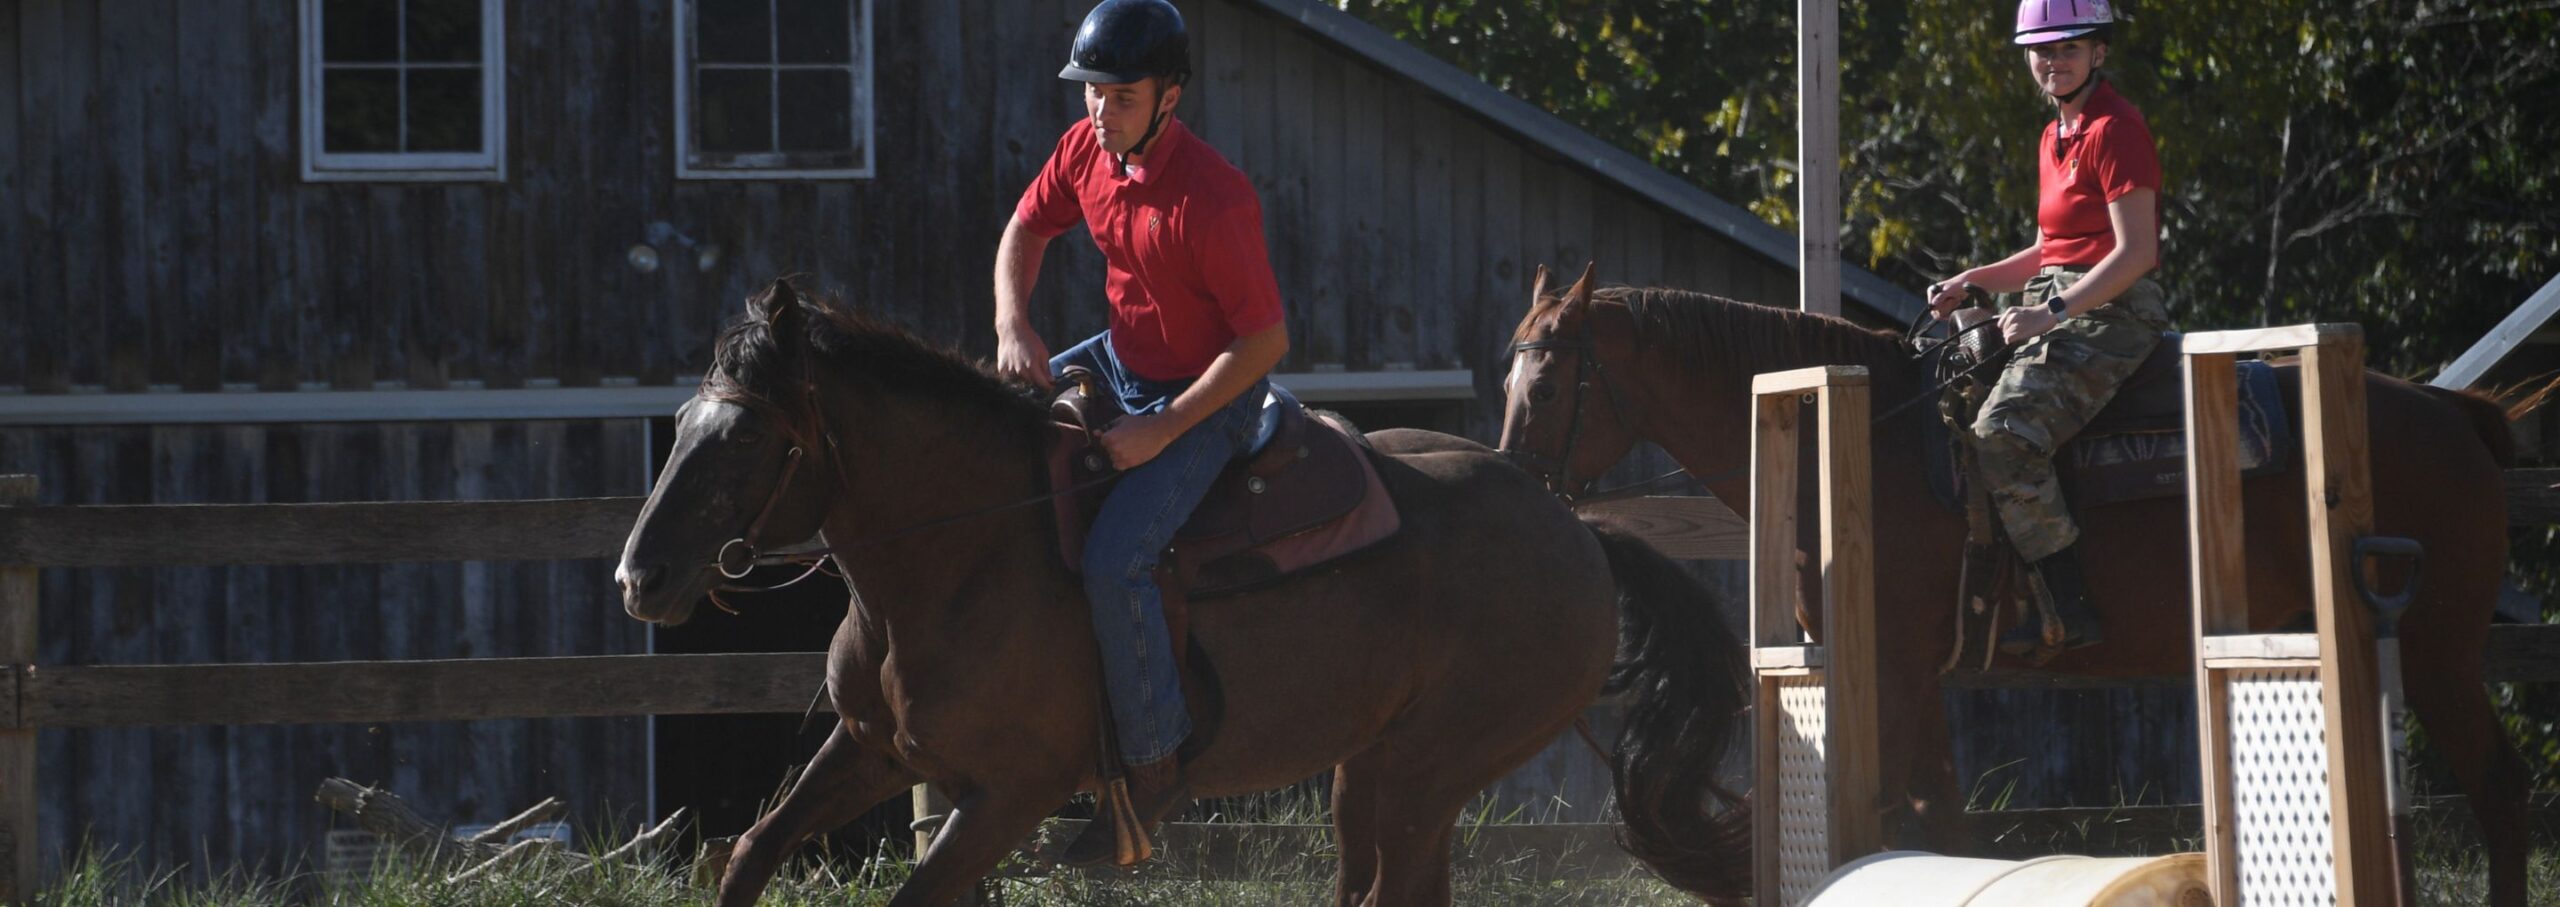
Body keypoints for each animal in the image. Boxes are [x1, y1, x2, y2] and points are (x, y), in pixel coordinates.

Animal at [614, 277, 1757, 907]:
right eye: (682, 424)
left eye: (747, 437)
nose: (641, 575)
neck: (961, 557)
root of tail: (1577, 532)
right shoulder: (871, 748)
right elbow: (750, 853)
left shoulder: (1010, 793)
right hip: (1372, 769)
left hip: (1434, 768)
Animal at [1495, 266, 2529, 905]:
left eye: (1544, 389)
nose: (1519, 483)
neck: (1868, 443)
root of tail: (2452, 413)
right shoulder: (1885, 673)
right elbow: (1923, 814)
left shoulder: (1901, 672)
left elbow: (1927, 812)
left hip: (2435, 645)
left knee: (2497, 782)